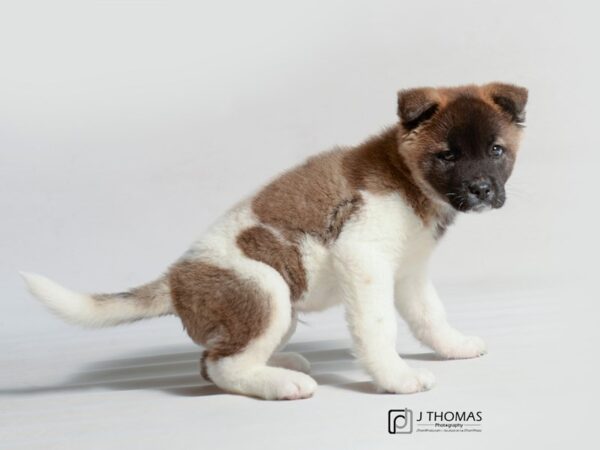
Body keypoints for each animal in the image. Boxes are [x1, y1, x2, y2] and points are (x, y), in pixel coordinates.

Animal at [21, 82, 528, 400]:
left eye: (496, 151)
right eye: (447, 156)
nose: (482, 190)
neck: (408, 178)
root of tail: (174, 281)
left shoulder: (408, 273)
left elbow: (430, 316)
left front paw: (453, 346)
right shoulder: (362, 258)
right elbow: (378, 328)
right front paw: (396, 378)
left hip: (281, 303)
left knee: (218, 359)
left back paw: (282, 365)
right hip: (266, 292)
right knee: (220, 366)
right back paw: (281, 385)